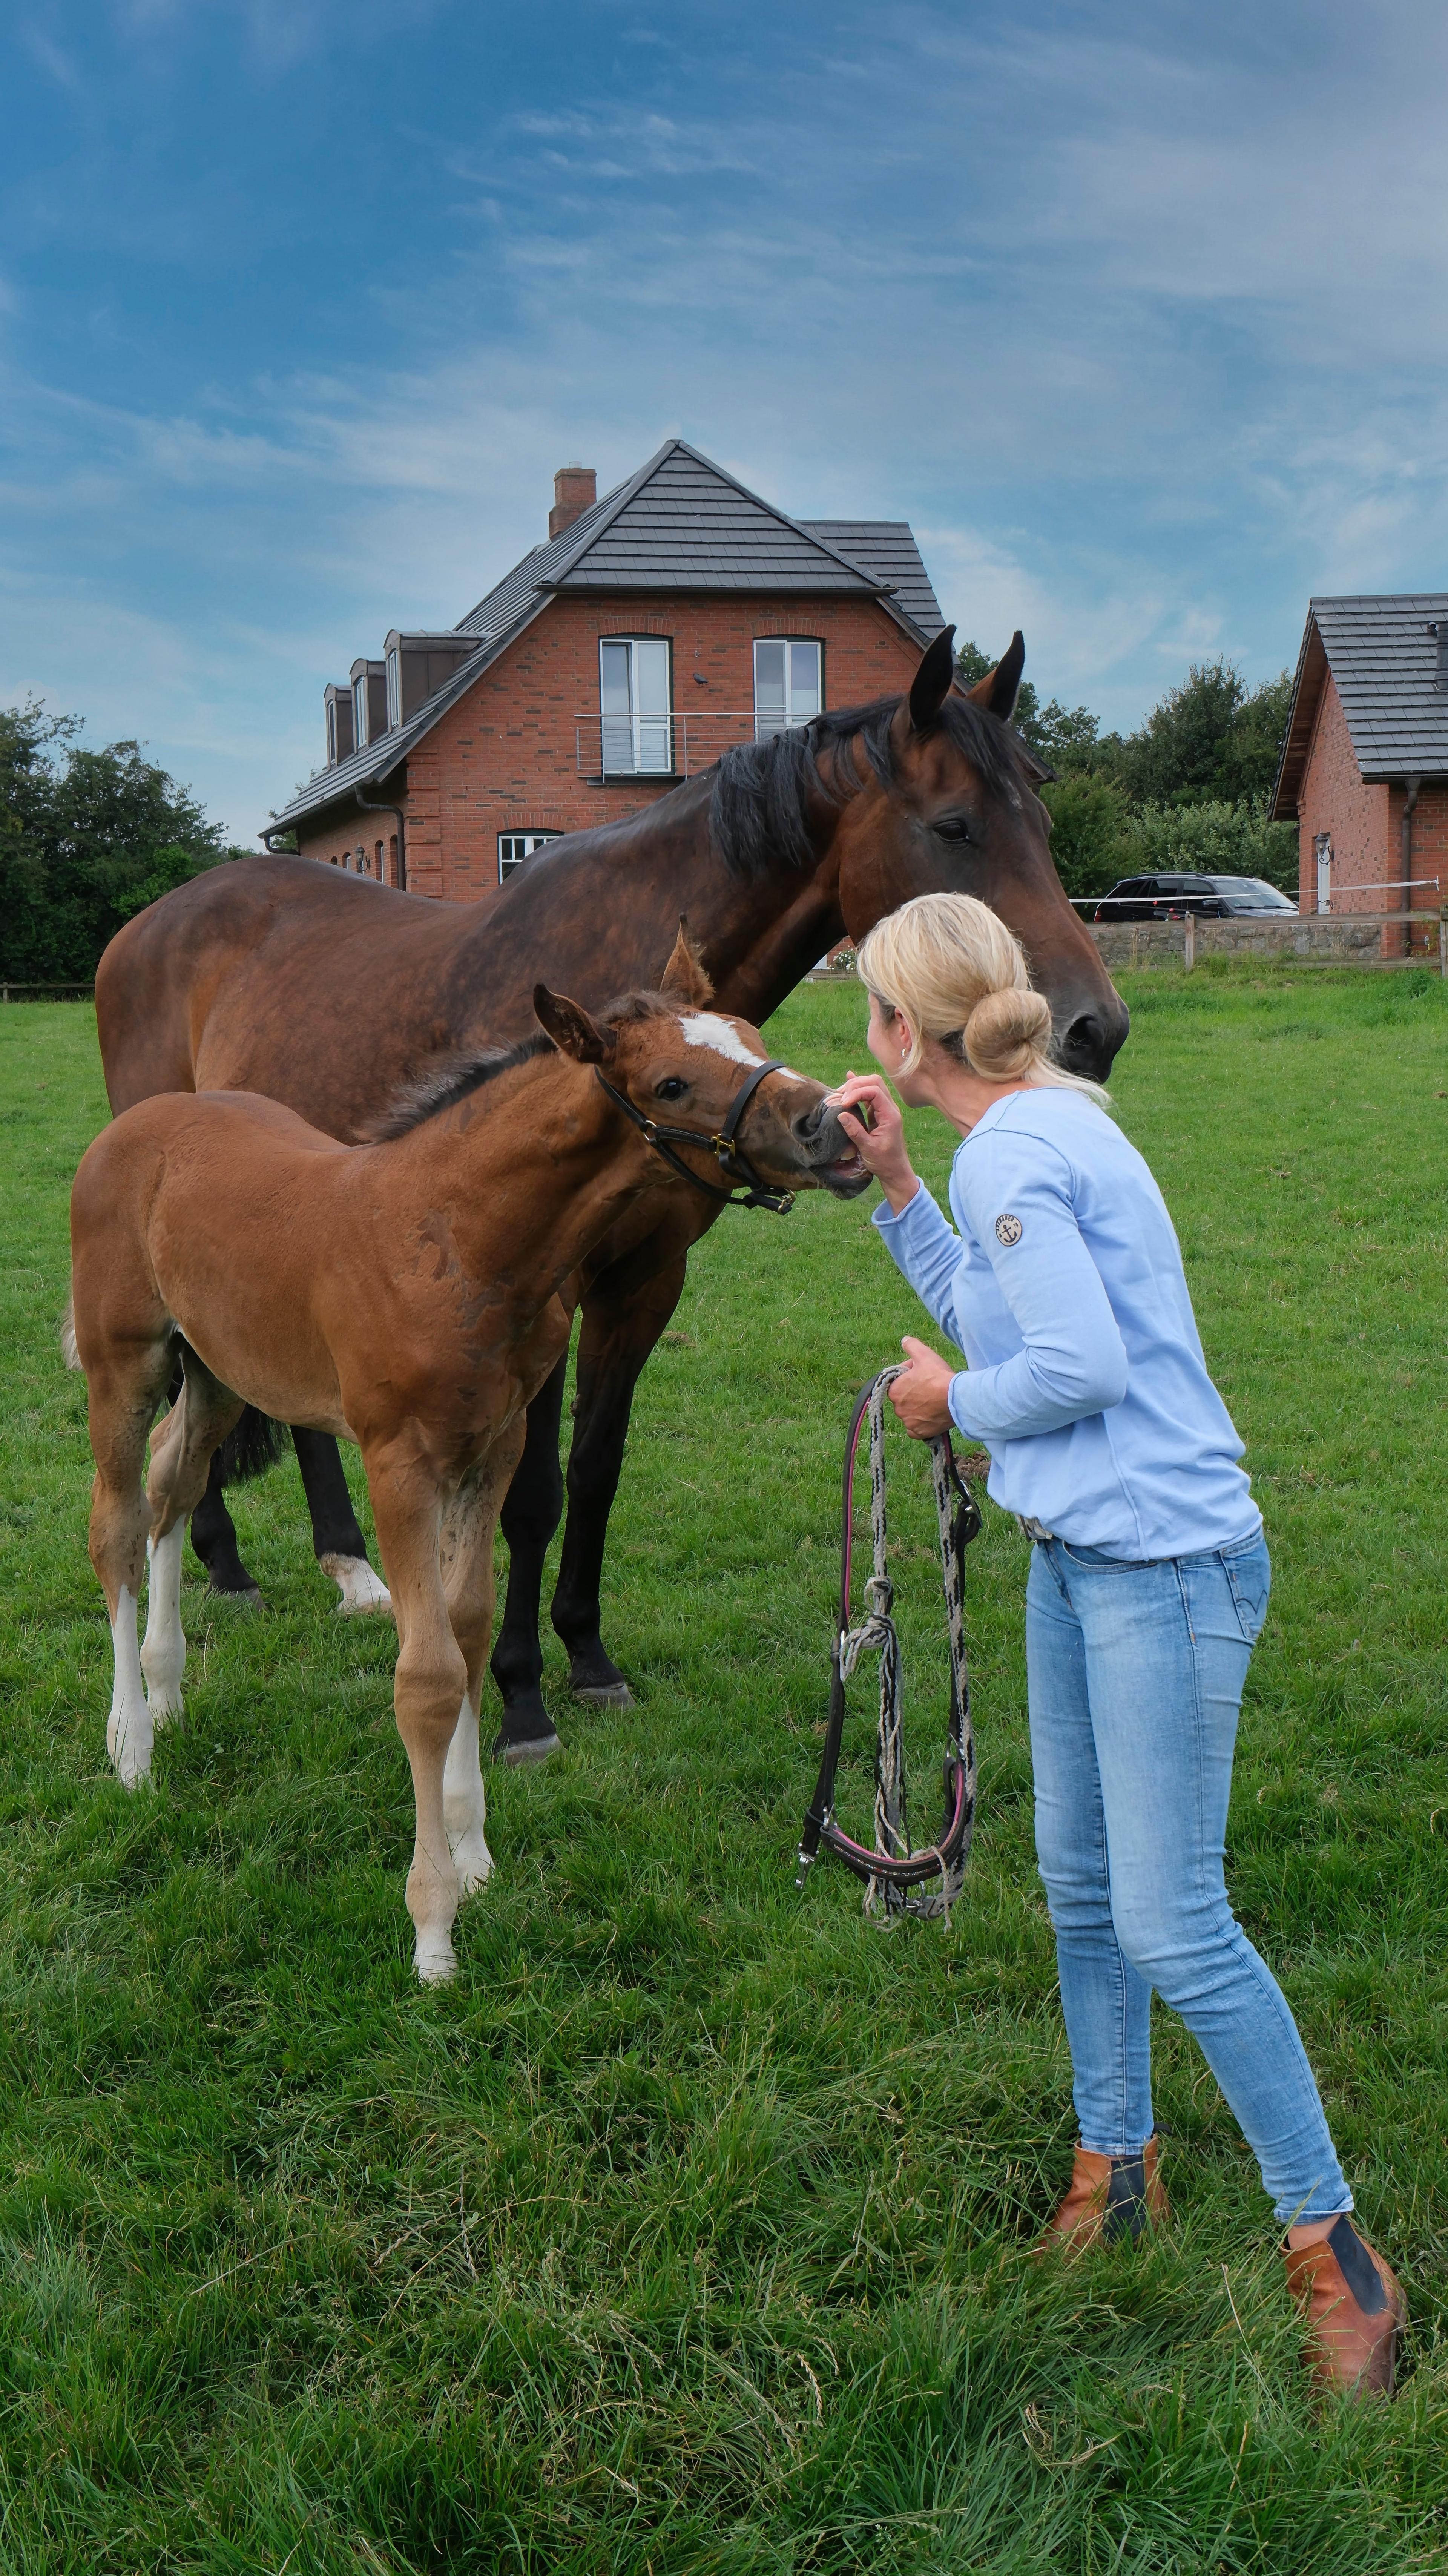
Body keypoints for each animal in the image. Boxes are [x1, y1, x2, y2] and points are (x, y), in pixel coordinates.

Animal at [67, 937, 861, 1978]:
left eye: (752, 1039)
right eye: (671, 1082)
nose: (833, 1127)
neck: (457, 1235)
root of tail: (137, 1123)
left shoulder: (495, 1444)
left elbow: (473, 1626)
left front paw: (475, 1849)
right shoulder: (399, 1461)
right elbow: (428, 1674)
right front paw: (433, 1926)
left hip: (220, 1366)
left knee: (174, 1481)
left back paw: (166, 1691)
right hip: (124, 1360)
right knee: (118, 1525)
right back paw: (129, 1745)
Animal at [98, 631, 1128, 1762]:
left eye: (1041, 816)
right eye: (952, 825)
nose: (1090, 1028)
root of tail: (147, 928)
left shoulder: (642, 1279)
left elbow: (595, 1469)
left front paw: (586, 1656)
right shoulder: (538, 1287)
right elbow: (531, 1495)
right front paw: (518, 1695)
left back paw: (347, 1566)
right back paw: (225, 1560)